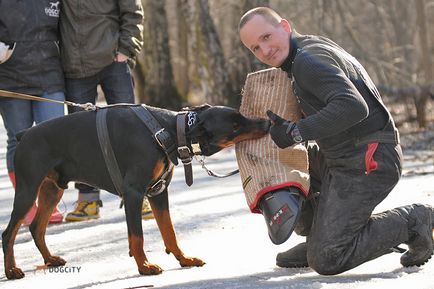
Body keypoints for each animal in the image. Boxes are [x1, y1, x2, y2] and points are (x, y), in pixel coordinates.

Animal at [1, 103, 270, 276]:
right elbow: (137, 236)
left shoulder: (159, 192)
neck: (168, 130)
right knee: (9, 233)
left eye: (241, 116)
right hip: (27, 190)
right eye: (234, 125)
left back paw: (49, 259)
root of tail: (24, 134)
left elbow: (169, 232)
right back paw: (12, 270)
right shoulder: (134, 192)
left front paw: (184, 259)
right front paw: (145, 267)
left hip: (51, 190)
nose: (267, 121)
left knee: (36, 227)